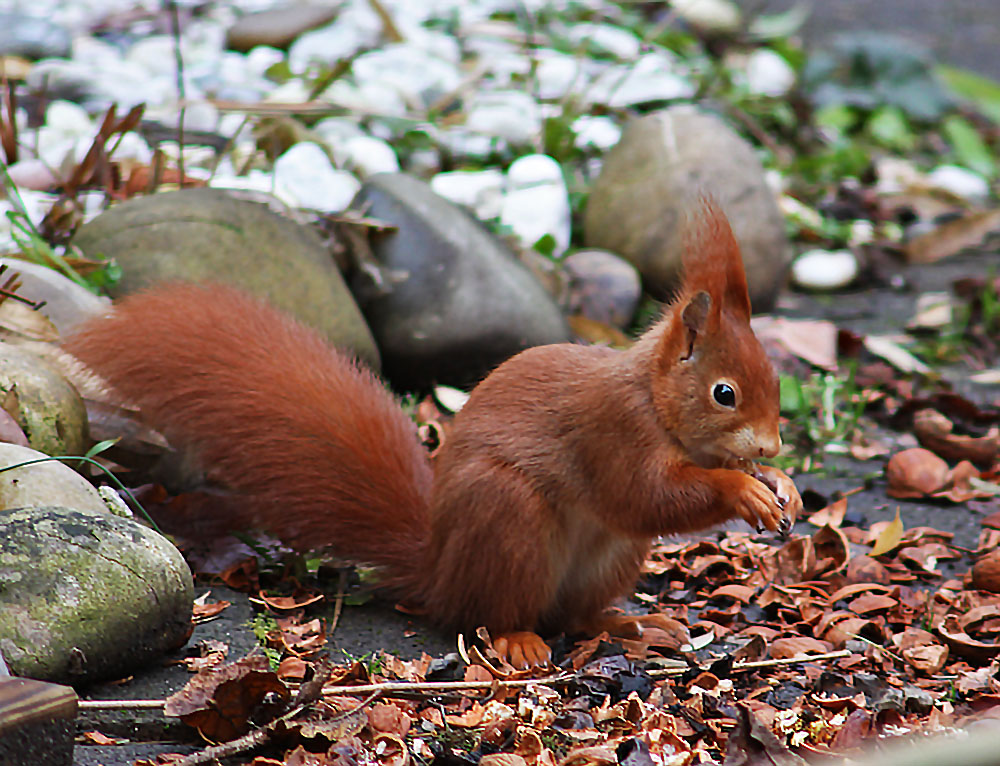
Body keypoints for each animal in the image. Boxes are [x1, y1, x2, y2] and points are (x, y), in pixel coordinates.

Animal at [62, 200, 800, 672]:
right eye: (725, 393)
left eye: (774, 379)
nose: (770, 447)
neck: (653, 397)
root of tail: (441, 567)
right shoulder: (611, 431)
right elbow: (645, 495)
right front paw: (742, 490)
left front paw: (781, 486)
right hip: (508, 518)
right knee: (496, 613)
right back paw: (519, 640)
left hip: (610, 558)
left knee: (576, 614)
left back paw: (625, 622)